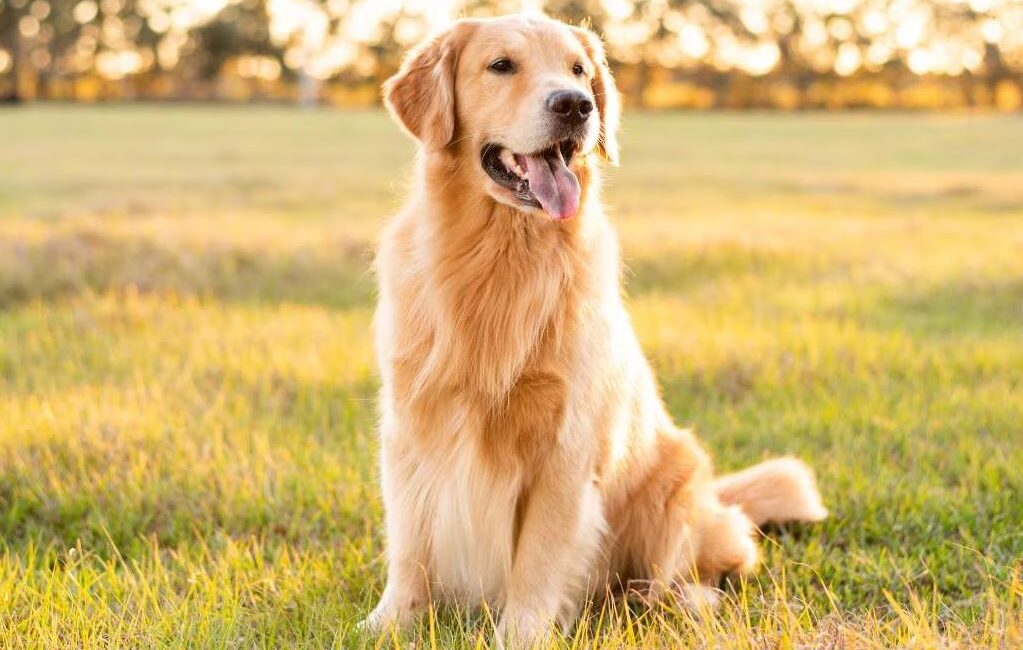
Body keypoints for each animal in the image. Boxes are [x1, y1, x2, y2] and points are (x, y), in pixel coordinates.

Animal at [364, 12, 826, 646]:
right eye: (501, 65)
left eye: (579, 70)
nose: (575, 106)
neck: (500, 256)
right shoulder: (411, 428)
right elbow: (409, 545)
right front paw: (388, 622)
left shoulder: (566, 446)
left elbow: (536, 559)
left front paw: (522, 634)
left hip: (677, 480)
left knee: (708, 564)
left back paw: (678, 600)